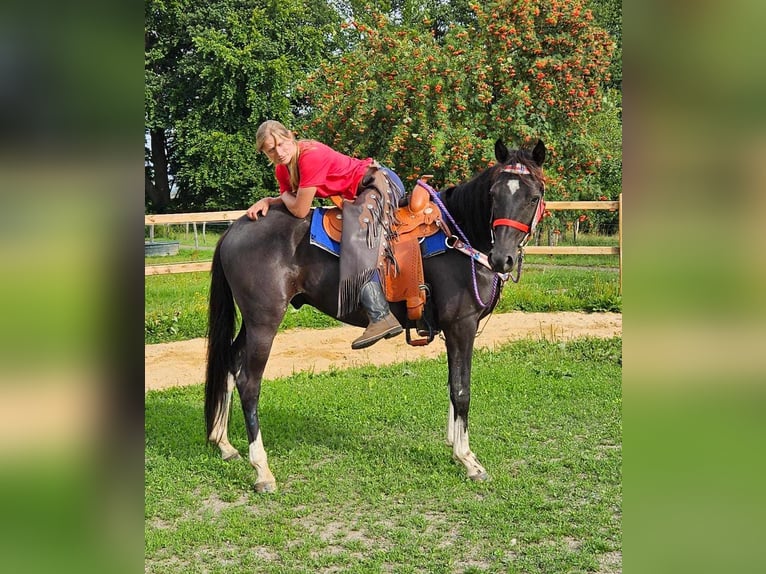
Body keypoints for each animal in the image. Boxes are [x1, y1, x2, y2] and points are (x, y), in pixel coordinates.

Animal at [204, 137, 544, 492]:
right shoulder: (460, 325)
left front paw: (455, 448)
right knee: (249, 382)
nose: (502, 258)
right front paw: (468, 460)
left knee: (230, 363)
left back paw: (224, 443)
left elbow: (453, 385)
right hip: (264, 322)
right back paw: (262, 470)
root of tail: (234, 230)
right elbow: (462, 390)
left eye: (533, 196)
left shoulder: (456, 330)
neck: (458, 236)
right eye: (494, 195)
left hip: (252, 321)